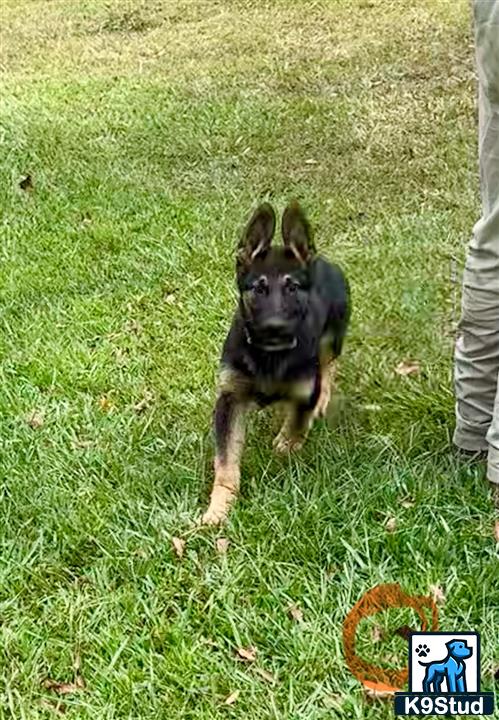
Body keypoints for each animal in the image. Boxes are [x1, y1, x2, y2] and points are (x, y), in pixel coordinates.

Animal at [201, 200, 350, 524]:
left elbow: (297, 424)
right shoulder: (230, 398)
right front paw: (218, 509)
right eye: (259, 288)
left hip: (332, 336)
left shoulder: (305, 389)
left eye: (292, 288)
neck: (269, 354)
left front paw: (286, 446)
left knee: (329, 366)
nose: (275, 328)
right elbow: (226, 461)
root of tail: (322, 261)